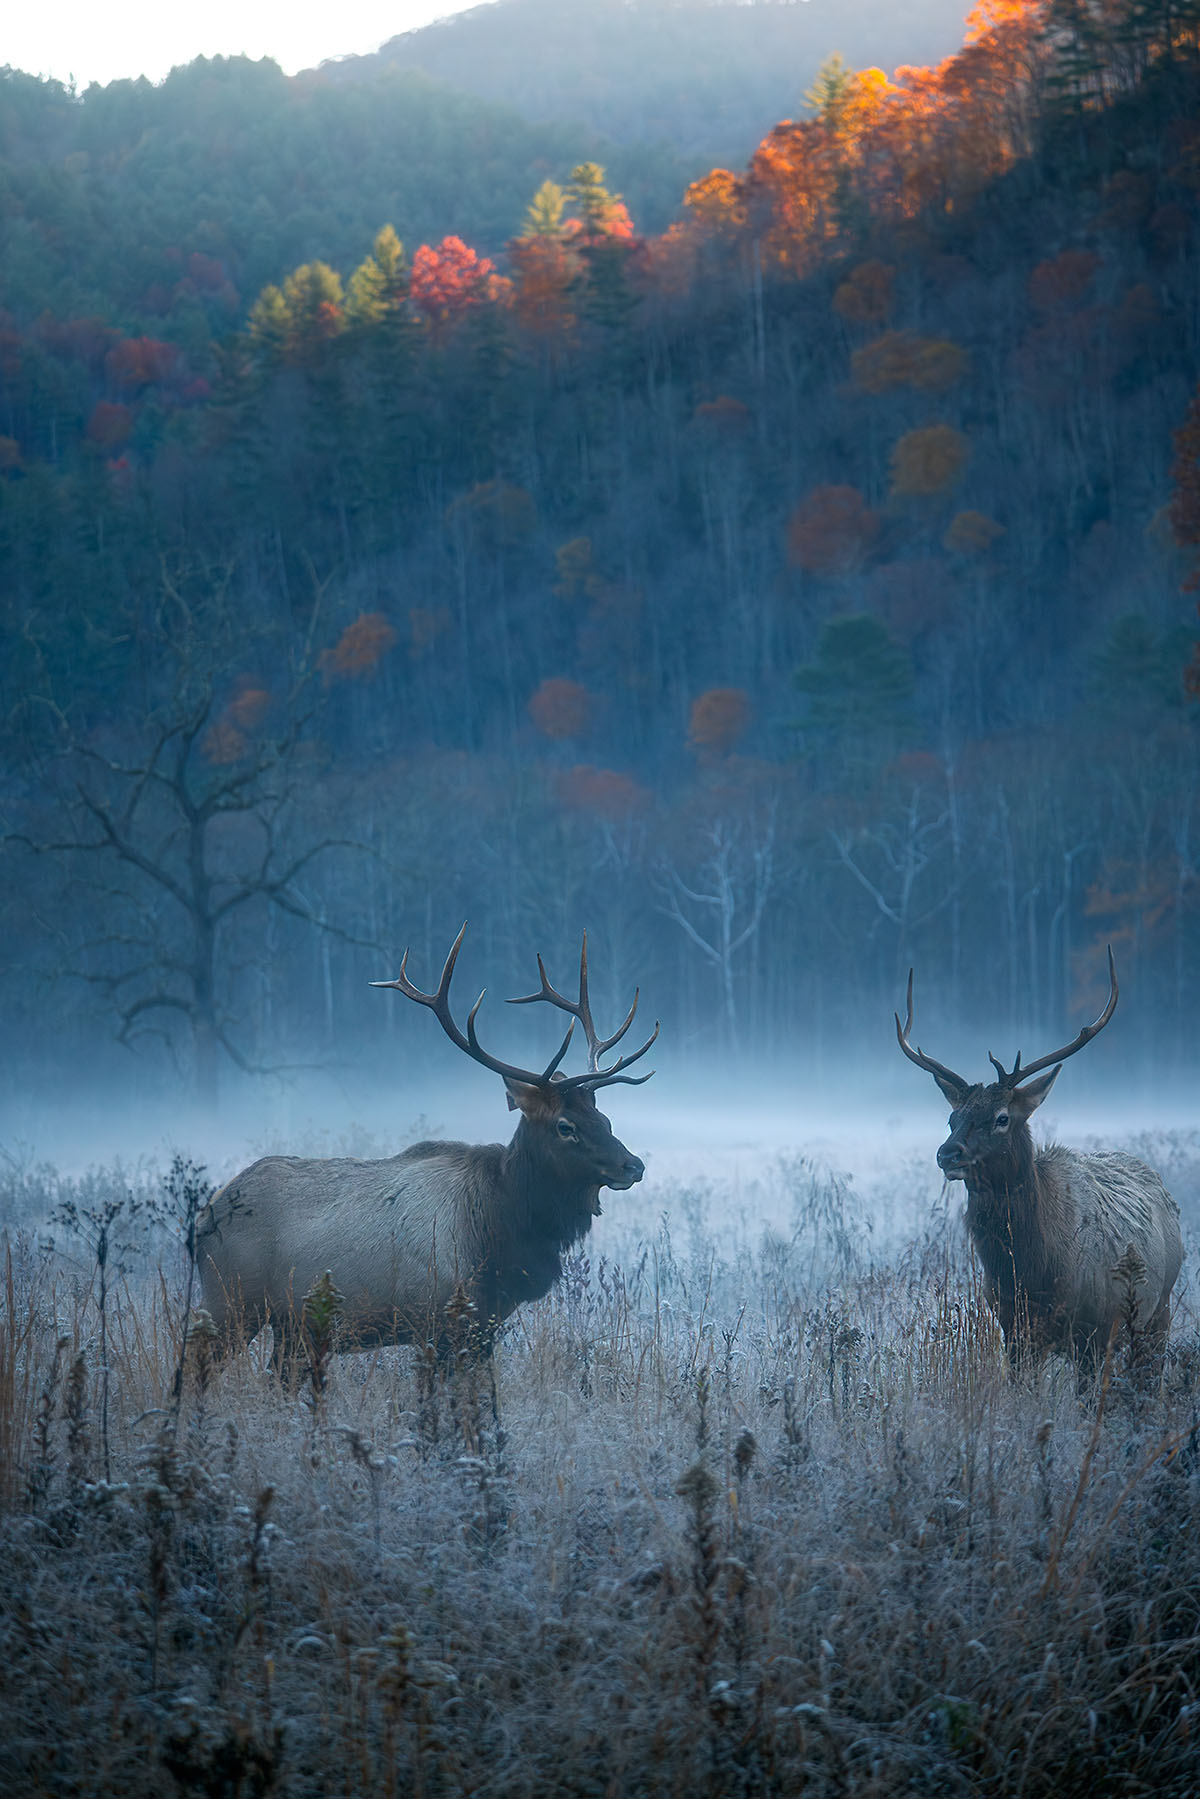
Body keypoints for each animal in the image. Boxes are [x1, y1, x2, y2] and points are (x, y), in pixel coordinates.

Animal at [198, 926, 658, 1369]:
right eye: (566, 1126)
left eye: (604, 1118)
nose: (633, 1166)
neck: (502, 1228)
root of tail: (203, 1219)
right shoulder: (439, 1318)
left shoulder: (484, 1323)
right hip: (232, 1302)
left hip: (290, 1326)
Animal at [896, 949, 1183, 1368]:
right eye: (952, 1118)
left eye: (1001, 1117)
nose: (948, 1153)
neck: (1033, 1274)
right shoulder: (1014, 1330)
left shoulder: (1095, 1331)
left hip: (1160, 1308)